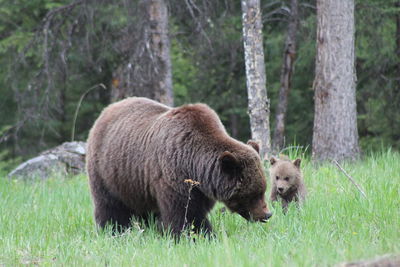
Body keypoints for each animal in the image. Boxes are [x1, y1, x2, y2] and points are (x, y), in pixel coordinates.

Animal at [85, 97, 270, 236]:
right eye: (253, 194)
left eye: (263, 190)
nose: (267, 214)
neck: (197, 166)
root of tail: (106, 110)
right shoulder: (173, 175)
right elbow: (185, 214)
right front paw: (200, 235)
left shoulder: (201, 188)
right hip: (108, 171)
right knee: (110, 205)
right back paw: (114, 230)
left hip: (136, 183)